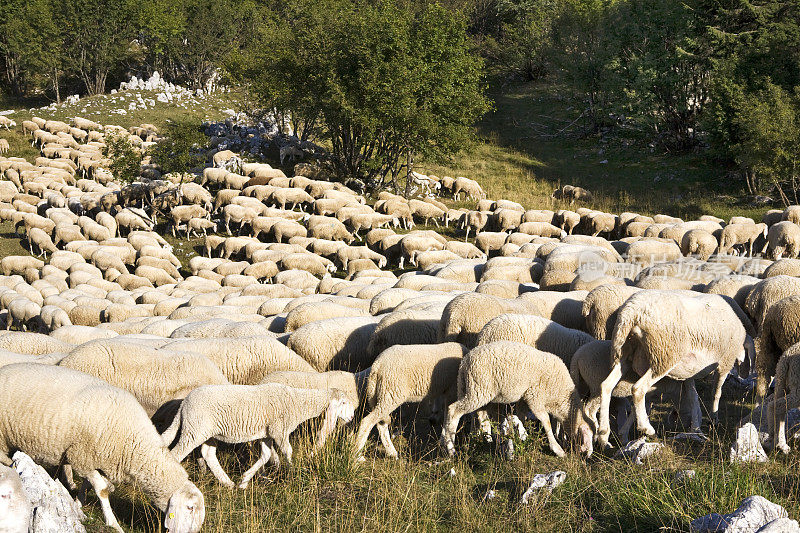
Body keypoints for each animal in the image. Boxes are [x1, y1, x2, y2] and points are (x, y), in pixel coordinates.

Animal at [0, 362, 205, 532]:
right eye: (190, 507)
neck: (134, 442)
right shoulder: (81, 456)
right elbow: (102, 490)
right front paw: (112, 523)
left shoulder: (94, 458)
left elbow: (88, 483)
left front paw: (78, 503)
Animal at [438, 342, 592, 456]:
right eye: (589, 436)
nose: (589, 455)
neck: (560, 398)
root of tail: (464, 362)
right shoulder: (535, 397)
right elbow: (546, 421)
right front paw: (557, 449)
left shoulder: (525, 397)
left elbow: (522, 415)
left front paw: (522, 434)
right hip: (478, 390)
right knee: (453, 410)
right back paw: (451, 449)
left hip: (469, 389)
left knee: (479, 415)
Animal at [596, 288, 752, 446]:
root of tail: (632, 313)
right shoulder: (725, 362)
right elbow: (716, 392)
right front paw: (713, 418)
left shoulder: (689, 373)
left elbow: (693, 397)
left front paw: (696, 428)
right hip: (663, 355)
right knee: (638, 389)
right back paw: (646, 428)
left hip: (624, 354)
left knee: (606, 386)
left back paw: (603, 433)